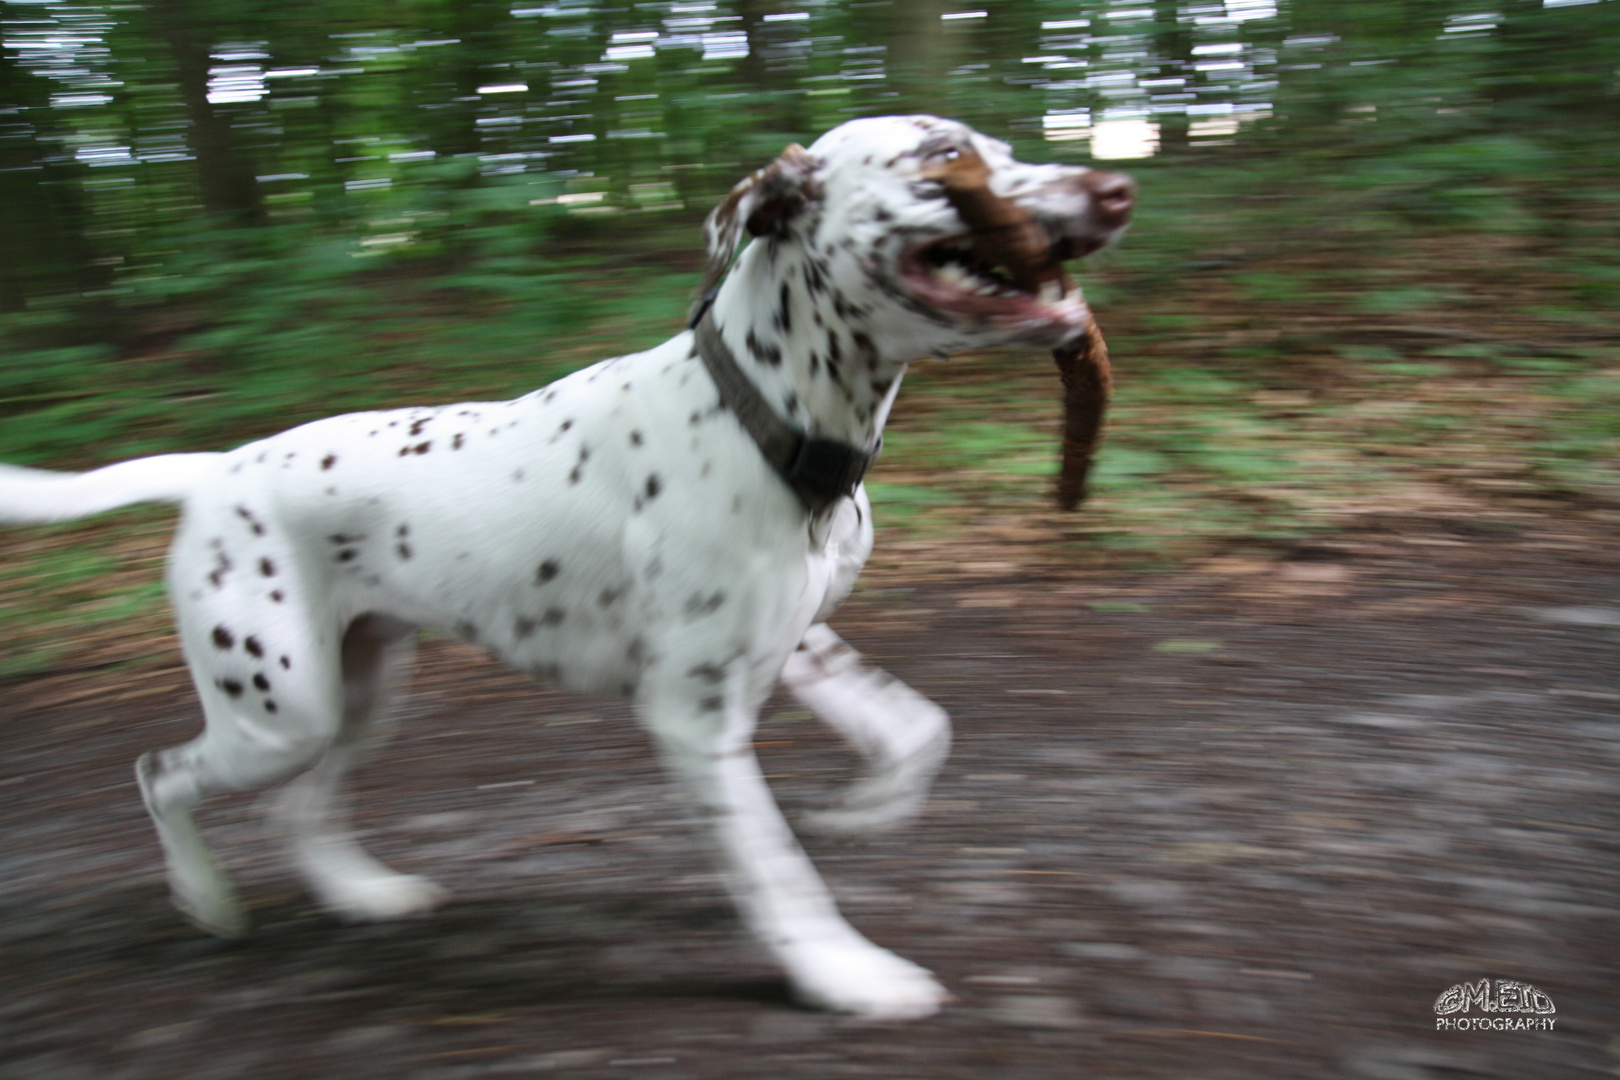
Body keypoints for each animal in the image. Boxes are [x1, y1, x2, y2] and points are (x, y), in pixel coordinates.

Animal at [0, 118, 1134, 1023]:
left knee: (300, 809)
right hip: (275, 714)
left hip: (355, 695)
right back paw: (206, 899)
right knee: (161, 777)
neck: (764, 418)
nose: (1115, 190)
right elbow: (777, 869)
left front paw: (867, 811)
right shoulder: (694, 719)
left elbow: (914, 726)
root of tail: (213, 470)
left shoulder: (797, 646)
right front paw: (840, 973)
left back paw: (363, 894)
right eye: (944, 158)